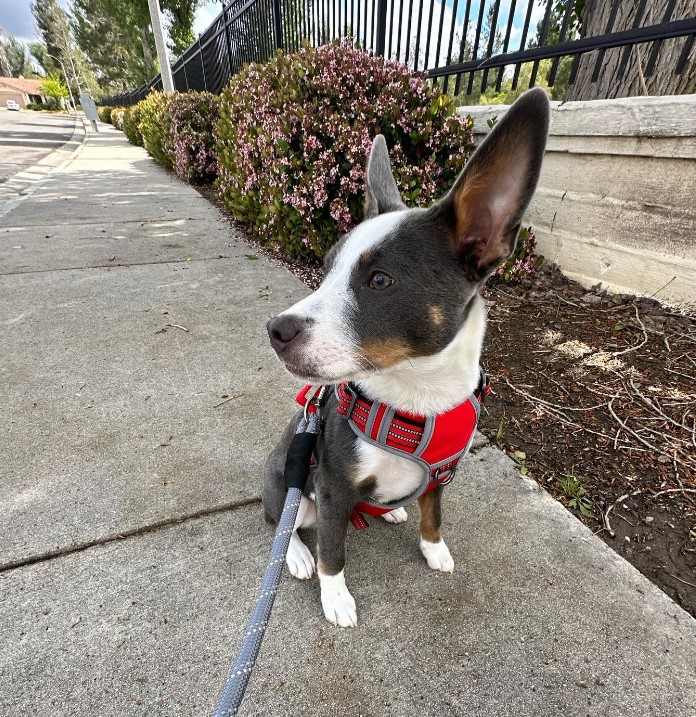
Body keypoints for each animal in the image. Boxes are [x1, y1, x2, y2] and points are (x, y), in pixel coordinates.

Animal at [262, 89, 548, 628]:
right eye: (326, 270)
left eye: (379, 280)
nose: (276, 331)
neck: (416, 395)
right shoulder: (331, 488)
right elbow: (333, 550)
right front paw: (336, 596)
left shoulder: (442, 476)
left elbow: (433, 512)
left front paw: (434, 548)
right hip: (288, 484)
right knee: (283, 522)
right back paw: (297, 555)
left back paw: (390, 507)